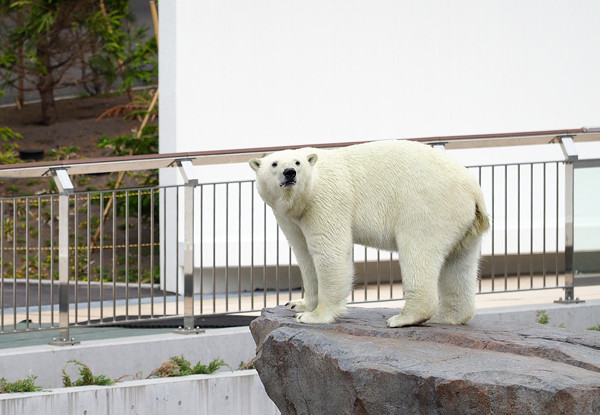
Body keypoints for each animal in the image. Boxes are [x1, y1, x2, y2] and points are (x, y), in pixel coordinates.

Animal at [248, 141, 488, 328]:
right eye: (274, 164)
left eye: (297, 162)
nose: (290, 172)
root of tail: (474, 189)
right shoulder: (291, 218)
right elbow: (304, 254)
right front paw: (297, 303)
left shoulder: (325, 200)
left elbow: (330, 252)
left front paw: (314, 316)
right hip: (463, 222)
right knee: (459, 264)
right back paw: (447, 317)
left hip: (428, 206)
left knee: (418, 252)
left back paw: (403, 318)